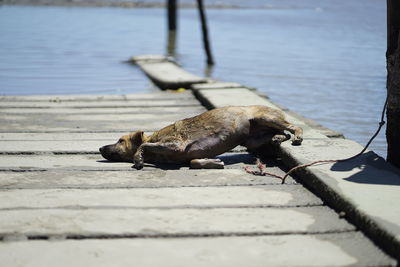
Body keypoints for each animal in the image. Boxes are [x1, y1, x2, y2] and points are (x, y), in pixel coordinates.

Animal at [100, 105, 304, 170]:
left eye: (120, 141)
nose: (100, 148)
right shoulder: (186, 154)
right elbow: (194, 161)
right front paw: (211, 162)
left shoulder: (176, 144)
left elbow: (143, 147)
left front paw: (138, 159)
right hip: (251, 140)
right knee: (281, 133)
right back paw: (277, 139)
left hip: (265, 118)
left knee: (293, 127)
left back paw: (297, 136)